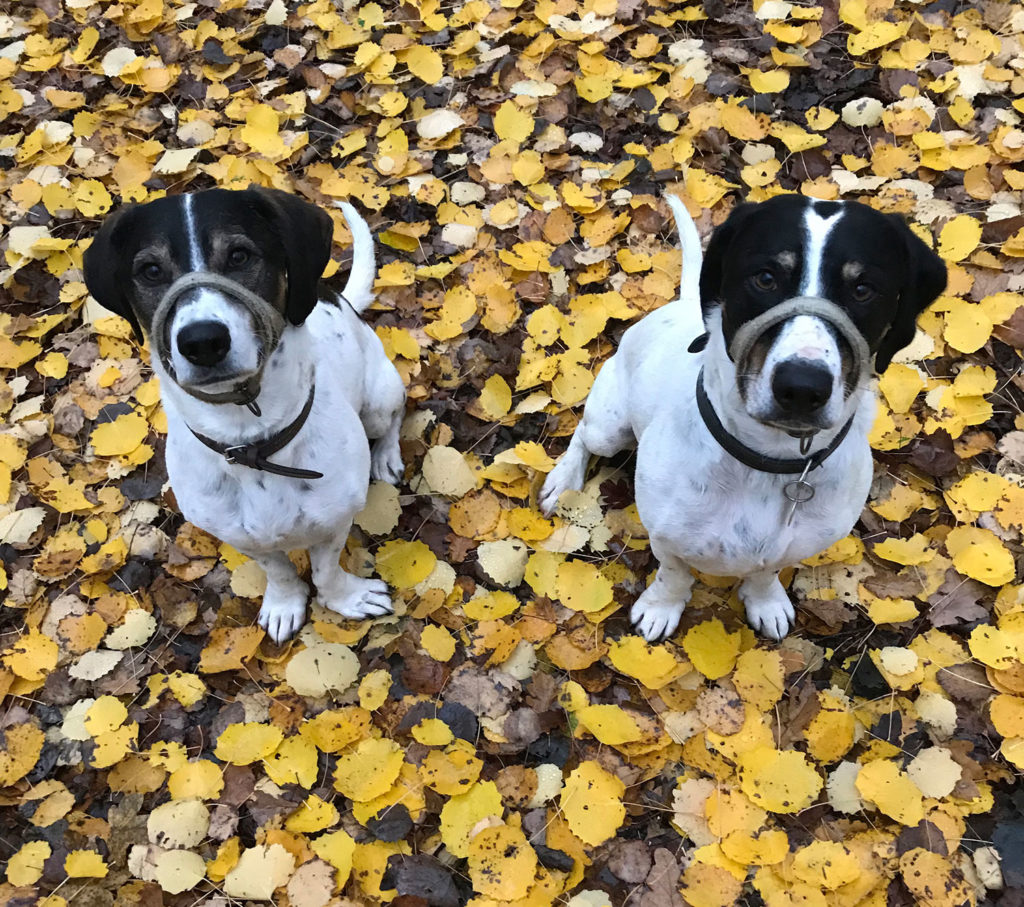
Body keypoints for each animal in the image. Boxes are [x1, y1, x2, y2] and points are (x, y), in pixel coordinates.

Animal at [84, 188, 403, 642]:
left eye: (239, 255)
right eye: (150, 270)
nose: (203, 341)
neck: (252, 442)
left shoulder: (334, 520)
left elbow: (325, 571)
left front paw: (346, 598)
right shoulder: (242, 538)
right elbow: (280, 571)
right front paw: (285, 603)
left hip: (378, 399)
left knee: (392, 419)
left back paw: (387, 456)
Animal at [540, 196, 946, 642]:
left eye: (863, 289)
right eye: (765, 278)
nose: (801, 387)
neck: (767, 459)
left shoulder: (789, 545)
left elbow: (765, 573)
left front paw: (765, 602)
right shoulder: (666, 537)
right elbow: (673, 575)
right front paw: (661, 607)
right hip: (609, 427)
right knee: (582, 436)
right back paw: (563, 481)